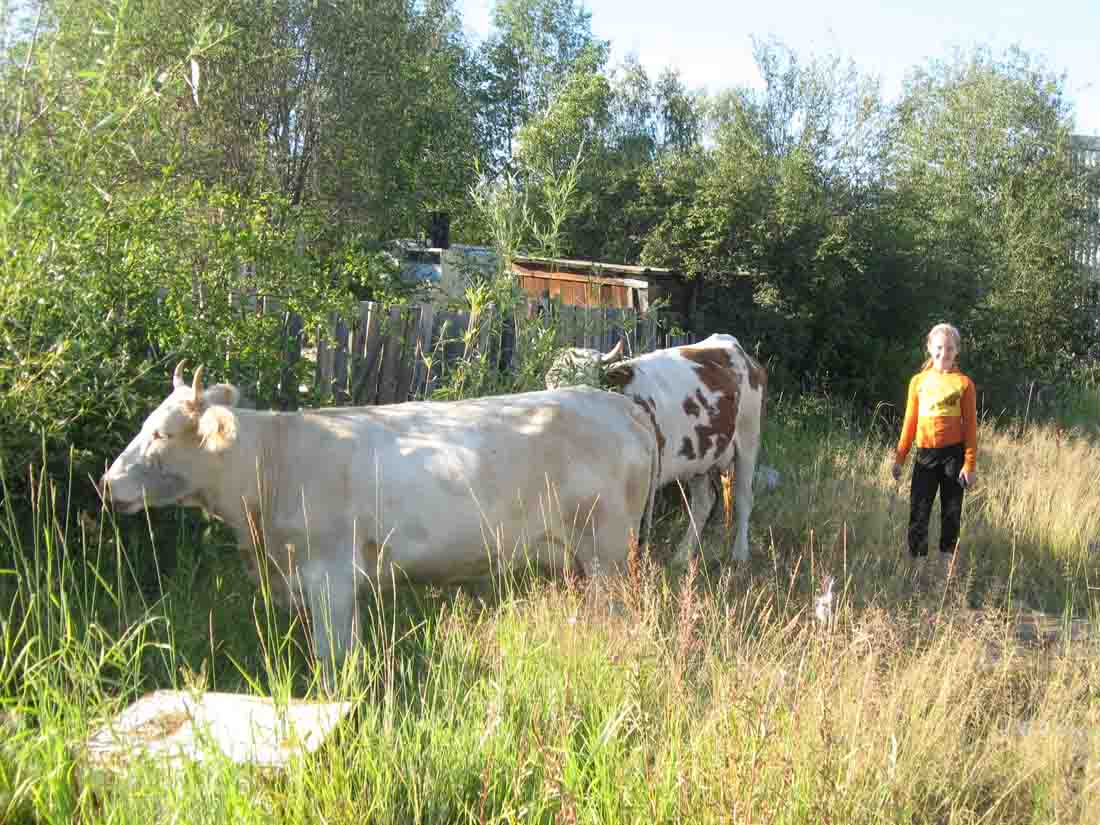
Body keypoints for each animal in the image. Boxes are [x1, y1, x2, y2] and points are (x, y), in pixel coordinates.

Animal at [103, 360, 655, 664]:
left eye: (161, 433)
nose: (108, 484)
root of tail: (616, 404)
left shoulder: (331, 576)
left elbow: (333, 658)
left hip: (608, 553)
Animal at [547, 332, 770, 567]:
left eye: (586, 383)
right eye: (551, 385)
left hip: (748, 441)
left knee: (743, 498)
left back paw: (740, 554)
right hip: (699, 459)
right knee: (703, 503)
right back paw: (682, 556)